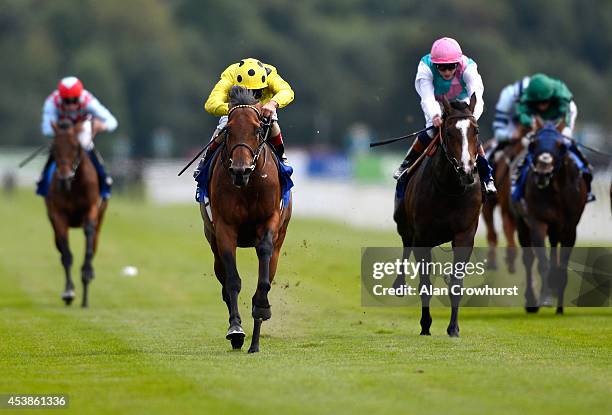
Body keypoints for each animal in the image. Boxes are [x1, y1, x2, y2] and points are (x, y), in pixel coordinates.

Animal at [46, 120, 107, 308]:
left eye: (75, 146)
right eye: (54, 146)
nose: (64, 177)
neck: (73, 185)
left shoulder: (91, 209)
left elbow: (88, 242)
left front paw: (86, 274)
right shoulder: (58, 215)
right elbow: (66, 255)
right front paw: (68, 291)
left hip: (100, 217)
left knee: (94, 242)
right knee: (60, 247)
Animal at [198, 87, 290, 354]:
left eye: (258, 130)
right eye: (228, 130)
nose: (241, 170)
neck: (247, 186)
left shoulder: (270, 219)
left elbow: (264, 272)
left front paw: (261, 308)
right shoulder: (224, 229)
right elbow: (232, 282)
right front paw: (236, 329)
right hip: (212, 241)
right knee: (223, 278)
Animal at [396, 96, 482, 340]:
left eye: (476, 131)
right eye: (450, 132)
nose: (466, 171)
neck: (450, 188)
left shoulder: (464, 235)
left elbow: (456, 283)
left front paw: (453, 328)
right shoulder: (422, 237)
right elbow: (425, 283)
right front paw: (425, 325)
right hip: (404, 225)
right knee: (405, 246)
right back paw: (399, 284)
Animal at [512, 118, 588, 314]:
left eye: (561, 145)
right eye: (534, 144)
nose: (542, 173)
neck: (555, 191)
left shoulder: (570, 227)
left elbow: (561, 266)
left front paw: (559, 306)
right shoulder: (537, 222)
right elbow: (542, 263)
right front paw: (545, 298)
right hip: (522, 224)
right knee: (529, 259)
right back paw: (532, 300)